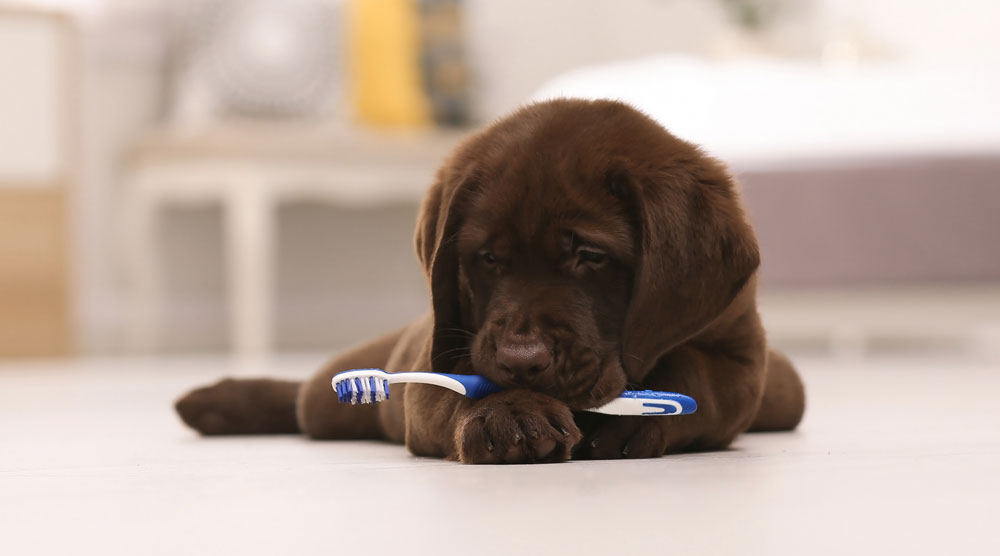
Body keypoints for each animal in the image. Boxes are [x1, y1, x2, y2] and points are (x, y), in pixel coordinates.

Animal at [176, 97, 808, 462]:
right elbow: (459, 388)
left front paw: (633, 419)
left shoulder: (743, 361)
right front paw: (509, 411)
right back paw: (215, 403)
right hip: (339, 394)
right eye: (487, 258)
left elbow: (692, 372)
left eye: (591, 256)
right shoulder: (434, 360)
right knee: (304, 397)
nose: (522, 360)